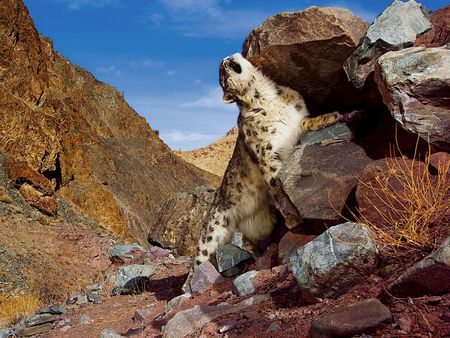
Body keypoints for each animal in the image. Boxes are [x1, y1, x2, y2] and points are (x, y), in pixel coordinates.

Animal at [183, 54, 342, 292]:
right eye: (222, 80)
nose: (222, 61)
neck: (267, 97)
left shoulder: (297, 121)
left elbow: (308, 121)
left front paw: (332, 116)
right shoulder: (267, 156)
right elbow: (277, 186)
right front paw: (294, 220)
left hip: (262, 221)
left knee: (247, 240)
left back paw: (258, 254)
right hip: (212, 231)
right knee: (200, 257)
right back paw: (187, 287)